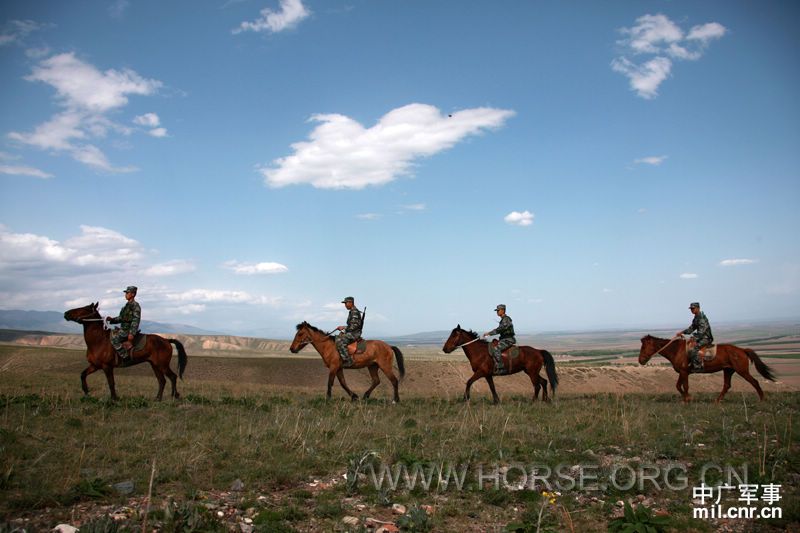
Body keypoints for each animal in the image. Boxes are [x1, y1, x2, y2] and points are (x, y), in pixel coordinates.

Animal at [636, 334, 776, 402]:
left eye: (644, 347)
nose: (640, 360)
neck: (676, 350)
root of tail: (742, 350)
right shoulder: (682, 373)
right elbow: (678, 386)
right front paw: (686, 398)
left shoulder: (684, 372)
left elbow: (685, 386)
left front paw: (687, 399)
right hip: (728, 370)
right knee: (727, 385)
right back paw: (717, 401)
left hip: (742, 371)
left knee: (754, 382)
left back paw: (762, 399)